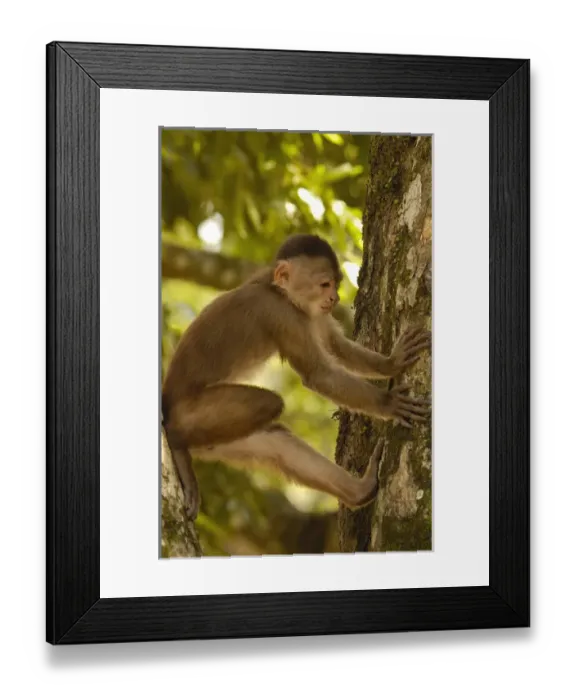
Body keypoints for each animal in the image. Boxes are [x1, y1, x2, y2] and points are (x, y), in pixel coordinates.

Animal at [161, 234, 431, 521]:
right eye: (325, 284)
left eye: (335, 285)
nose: (334, 298)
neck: (278, 290)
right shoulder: (282, 314)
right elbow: (319, 374)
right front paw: (389, 403)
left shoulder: (309, 312)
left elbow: (335, 344)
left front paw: (392, 362)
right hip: (185, 411)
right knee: (268, 404)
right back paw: (176, 444)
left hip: (213, 443)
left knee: (276, 440)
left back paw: (361, 490)